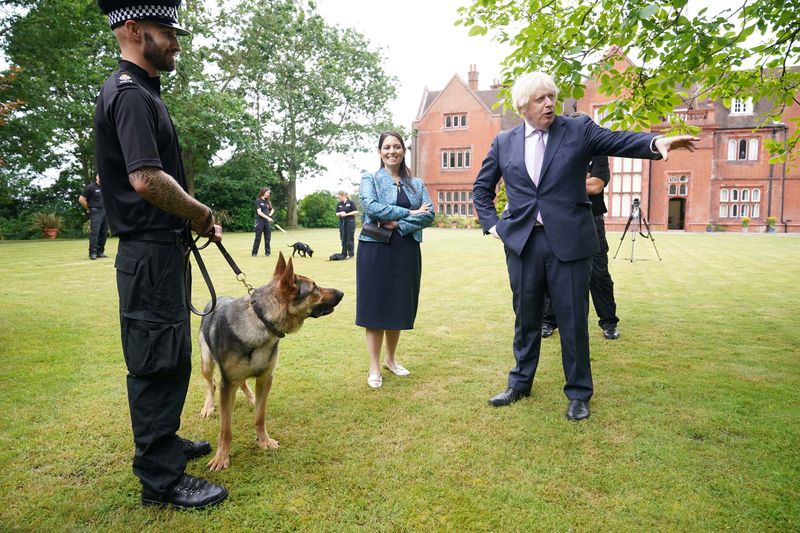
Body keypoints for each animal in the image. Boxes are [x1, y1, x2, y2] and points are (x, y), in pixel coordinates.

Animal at [200, 251, 344, 468]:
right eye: (314, 288)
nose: (342, 293)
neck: (261, 321)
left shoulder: (265, 378)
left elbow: (260, 415)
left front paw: (264, 440)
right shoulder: (228, 384)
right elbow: (226, 428)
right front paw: (222, 456)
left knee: (243, 383)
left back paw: (251, 397)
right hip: (207, 363)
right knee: (212, 384)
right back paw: (209, 406)